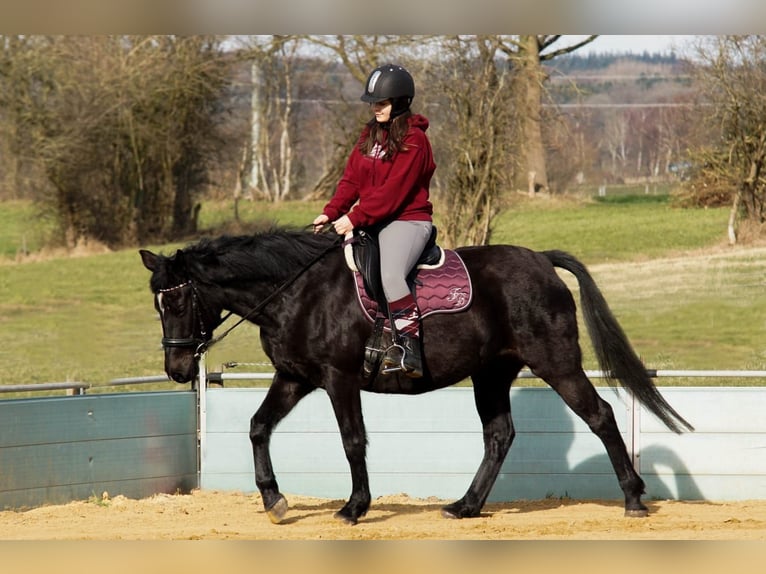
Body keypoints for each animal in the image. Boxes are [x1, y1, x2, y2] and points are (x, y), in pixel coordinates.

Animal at [140, 228, 696, 528]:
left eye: (180, 302)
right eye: (158, 305)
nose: (177, 370)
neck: (297, 292)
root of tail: (541, 260)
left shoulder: (338, 379)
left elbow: (352, 441)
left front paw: (354, 507)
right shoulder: (295, 377)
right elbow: (258, 427)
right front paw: (275, 501)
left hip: (556, 363)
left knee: (601, 416)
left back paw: (633, 499)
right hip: (490, 374)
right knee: (499, 436)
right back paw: (465, 507)